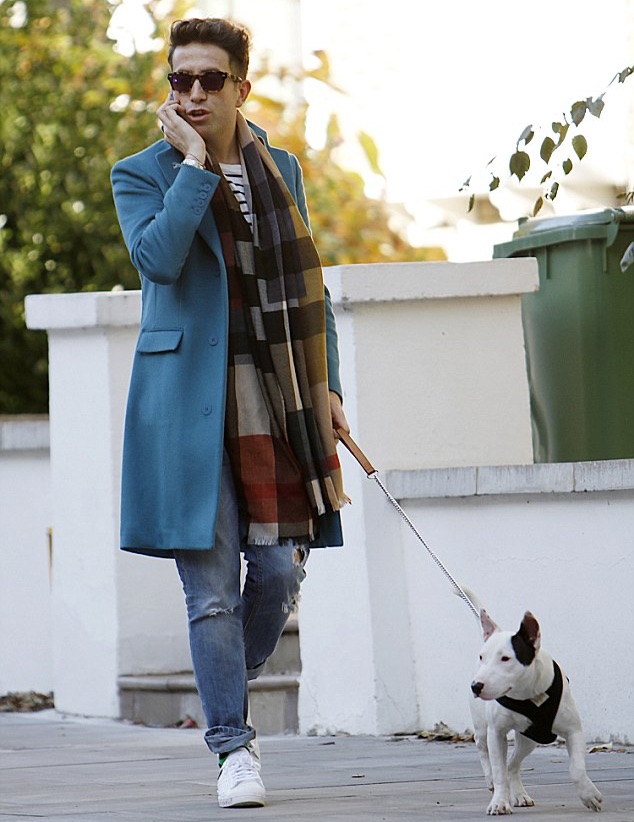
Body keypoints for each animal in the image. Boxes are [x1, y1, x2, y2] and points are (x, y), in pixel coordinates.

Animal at [466, 592, 600, 816]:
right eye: (482, 656)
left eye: (505, 658)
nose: (476, 686)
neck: (526, 695)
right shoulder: (496, 732)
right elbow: (498, 769)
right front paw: (499, 802)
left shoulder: (573, 730)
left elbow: (576, 769)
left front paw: (588, 795)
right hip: (484, 728)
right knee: (482, 746)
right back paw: (491, 779)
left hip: (530, 738)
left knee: (512, 764)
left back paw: (520, 795)